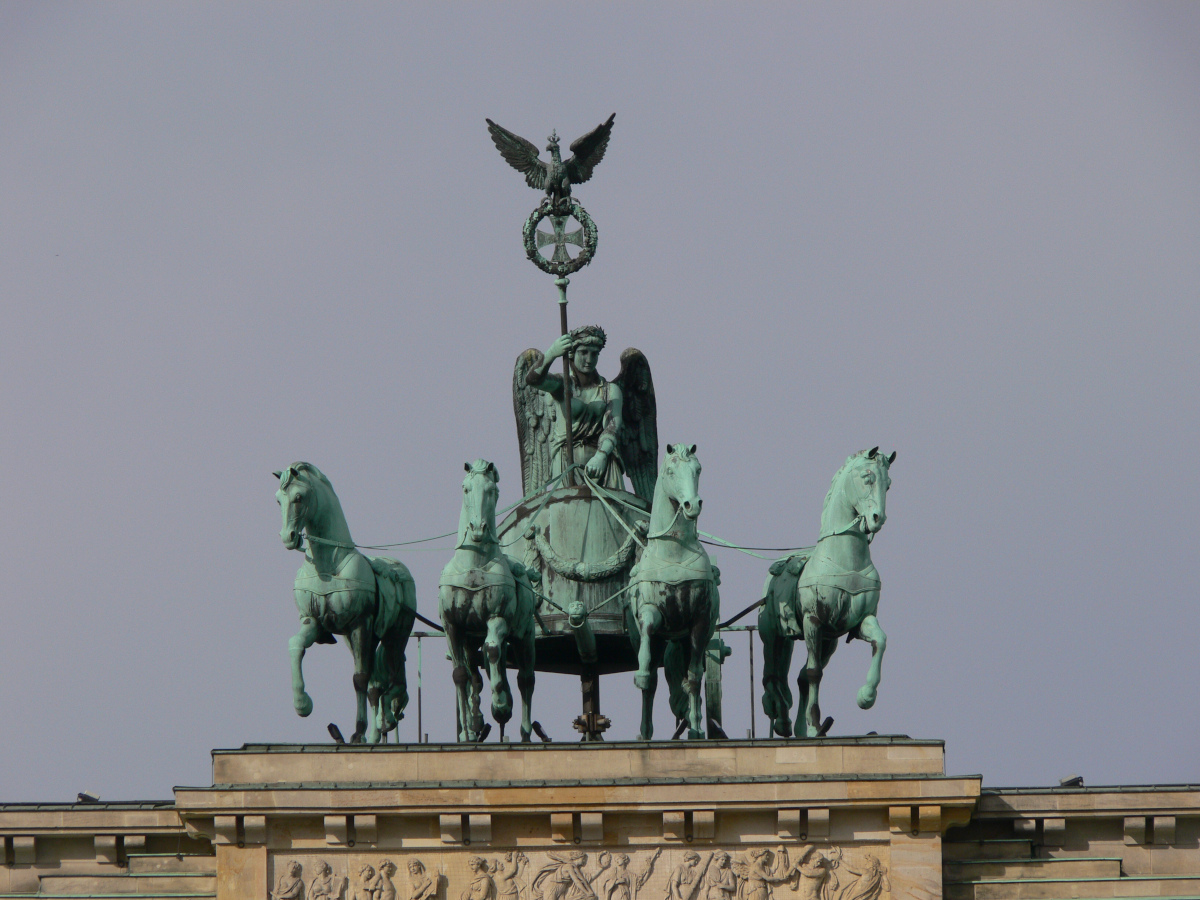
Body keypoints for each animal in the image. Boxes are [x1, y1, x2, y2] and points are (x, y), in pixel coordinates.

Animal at [274, 460, 417, 744]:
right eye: (278, 500)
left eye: (299, 497)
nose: (288, 537)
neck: (328, 565)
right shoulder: (314, 622)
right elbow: (296, 645)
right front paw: (302, 704)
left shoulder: (360, 624)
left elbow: (359, 679)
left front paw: (358, 731)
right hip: (357, 640)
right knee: (376, 685)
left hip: (396, 634)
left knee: (392, 679)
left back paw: (386, 718)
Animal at [439, 460, 537, 744]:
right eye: (465, 488)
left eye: (492, 490)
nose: (478, 528)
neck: (473, 565)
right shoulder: (453, 628)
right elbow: (461, 675)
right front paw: (468, 730)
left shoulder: (497, 619)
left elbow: (493, 649)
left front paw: (500, 705)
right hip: (471, 641)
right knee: (476, 675)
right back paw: (475, 721)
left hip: (525, 636)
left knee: (526, 679)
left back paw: (524, 731)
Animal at [624, 448, 715, 744]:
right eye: (670, 471)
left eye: (698, 469)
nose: (692, 504)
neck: (675, 551)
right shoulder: (650, 611)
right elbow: (648, 632)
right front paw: (641, 672)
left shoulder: (700, 623)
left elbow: (694, 677)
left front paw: (696, 727)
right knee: (651, 681)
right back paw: (645, 731)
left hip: (683, 639)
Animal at [758, 448, 892, 739]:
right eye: (867, 477)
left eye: (888, 484)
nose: (877, 519)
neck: (845, 560)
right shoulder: (813, 621)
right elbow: (813, 673)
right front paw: (813, 722)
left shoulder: (858, 622)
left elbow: (880, 641)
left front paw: (866, 696)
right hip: (773, 635)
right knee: (773, 676)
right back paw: (782, 719)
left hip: (829, 642)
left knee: (795, 678)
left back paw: (801, 728)